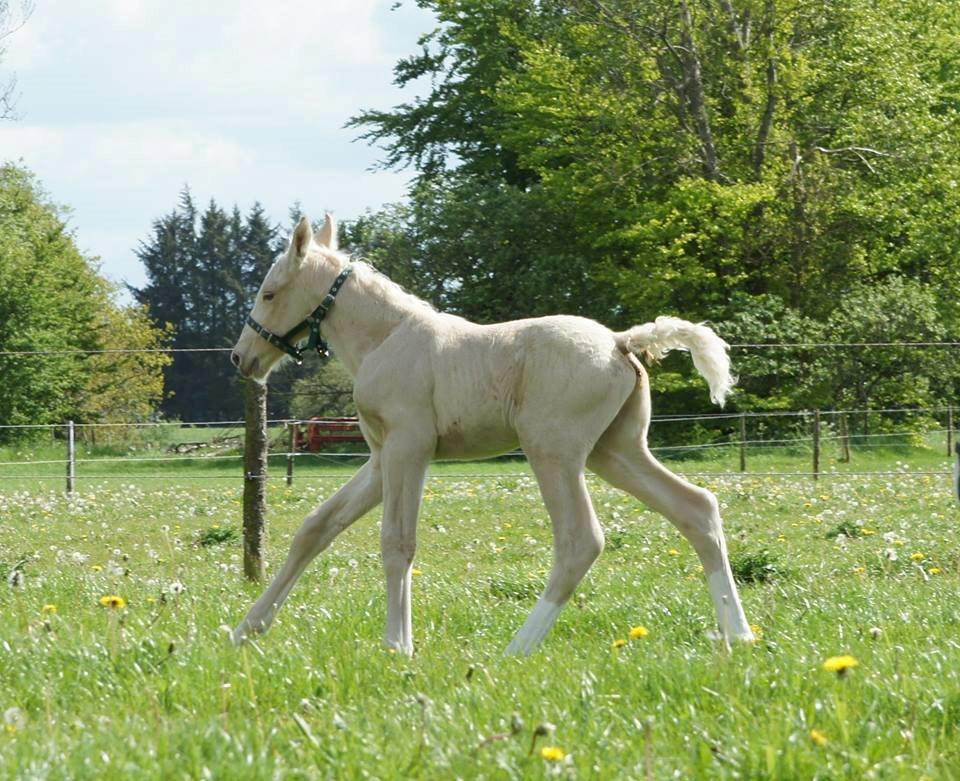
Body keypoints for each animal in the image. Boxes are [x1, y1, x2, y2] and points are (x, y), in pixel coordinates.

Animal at [229, 212, 752, 652]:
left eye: (269, 293)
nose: (241, 357)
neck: (385, 339)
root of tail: (621, 341)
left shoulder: (408, 447)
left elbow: (397, 542)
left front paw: (398, 645)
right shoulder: (380, 459)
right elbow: (316, 528)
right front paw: (247, 628)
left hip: (553, 451)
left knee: (581, 539)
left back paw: (517, 648)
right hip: (616, 451)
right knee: (696, 508)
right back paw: (739, 634)